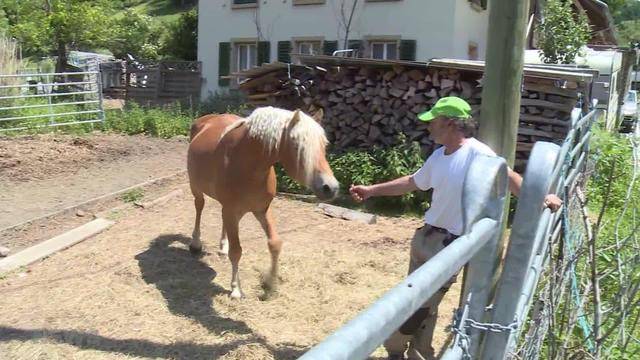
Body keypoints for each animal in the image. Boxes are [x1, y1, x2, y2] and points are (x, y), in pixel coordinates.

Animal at [186, 106, 340, 298]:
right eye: (298, 146)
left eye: (324, 145)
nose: (330, 188)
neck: (246, 164)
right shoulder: (232, 210)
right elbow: (236, 251)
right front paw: (236, 289)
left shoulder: (262, 209)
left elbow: (275, 243)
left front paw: (270, 284)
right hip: (196, 188)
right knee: (199, 206)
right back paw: (196, 244)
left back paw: (222, 247)